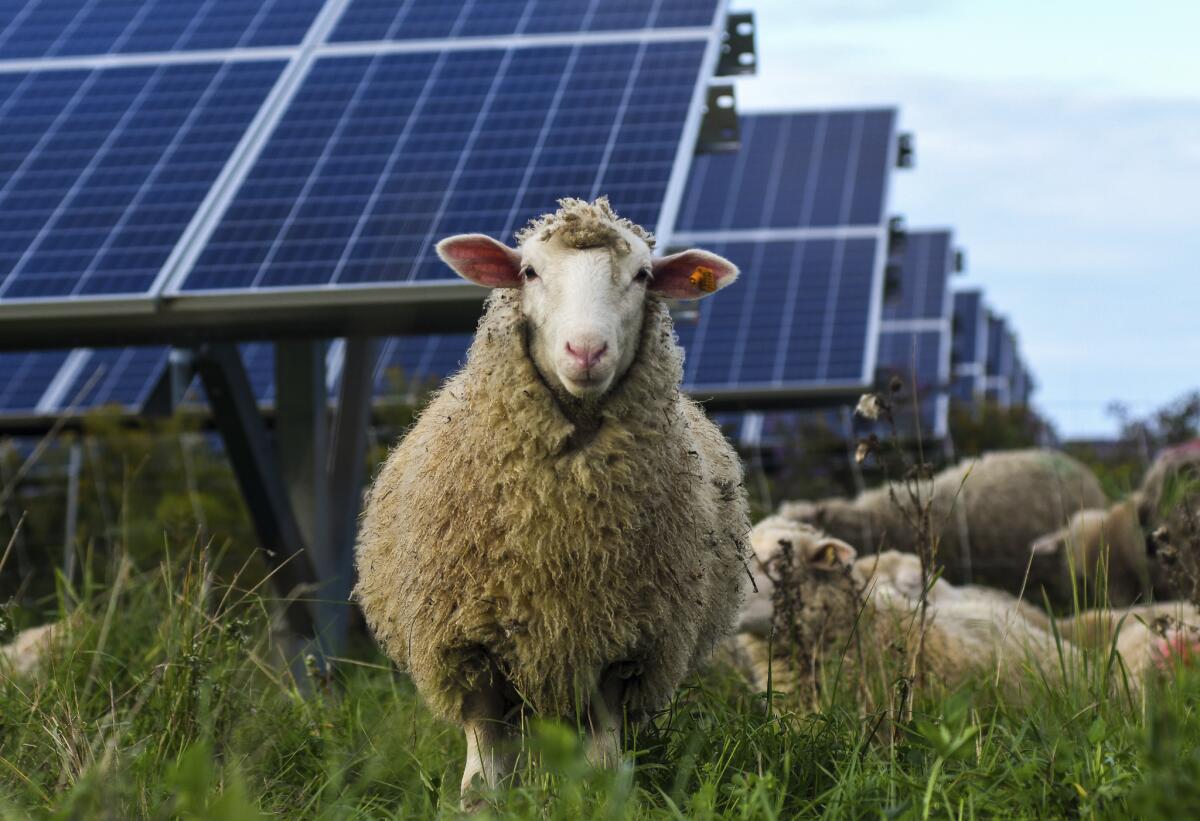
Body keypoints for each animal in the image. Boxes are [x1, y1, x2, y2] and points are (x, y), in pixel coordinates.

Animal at [352, 196, 748, 801]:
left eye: (643, 275)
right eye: (529, 272)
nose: (585, 350)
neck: (560, 528)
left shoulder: (625, 649)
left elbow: (606, 765)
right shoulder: (469, 648)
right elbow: (482, 776)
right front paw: (481, 803)